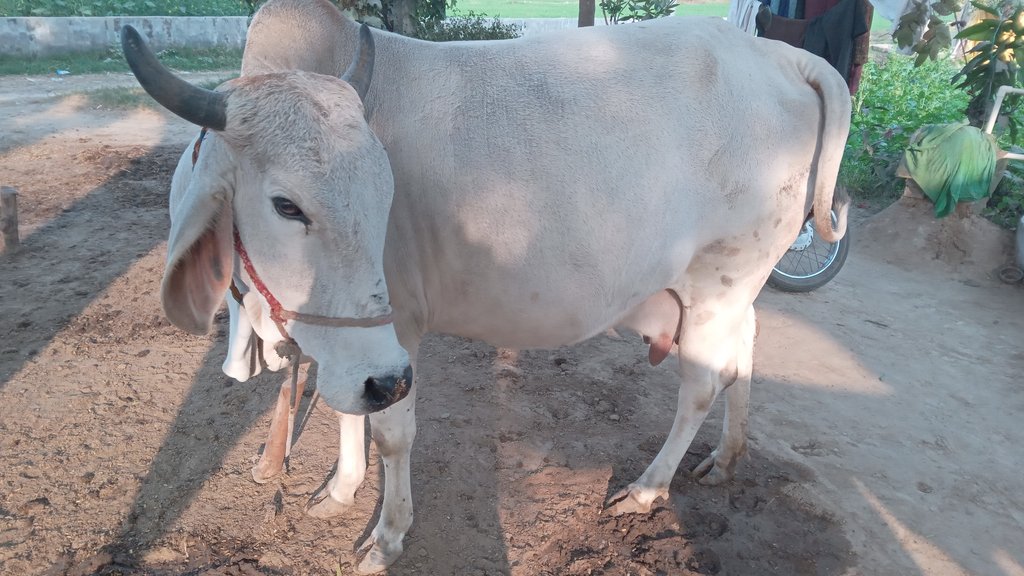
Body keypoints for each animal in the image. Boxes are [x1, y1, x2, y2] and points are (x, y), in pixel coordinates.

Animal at [122, 0, 850, 571]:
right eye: (286, 205)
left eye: (387, 193)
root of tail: (781, 55)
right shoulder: (351, 345)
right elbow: (345, 408)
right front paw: (340, 491)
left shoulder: (396, 332)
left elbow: (391, 433)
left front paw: (386, 536)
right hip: (734, 288)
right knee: (745, 348)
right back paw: (726, 458)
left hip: (717, 283)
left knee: (701, 386)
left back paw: (647, 490)